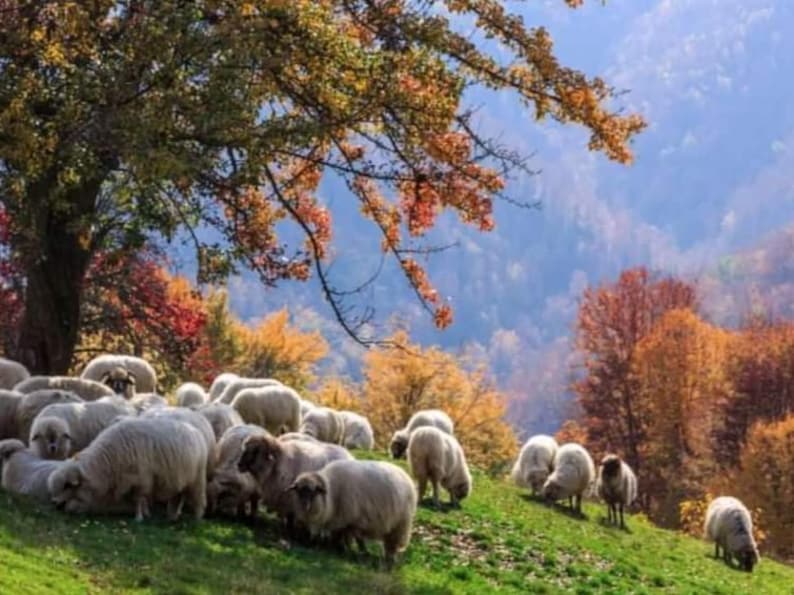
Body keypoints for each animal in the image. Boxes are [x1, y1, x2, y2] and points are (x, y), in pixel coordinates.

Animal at [48, 416, 208, 521]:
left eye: (67, 485)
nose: (54, 504)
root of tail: (196, 431)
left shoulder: (142, 480)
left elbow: (138, 500)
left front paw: (139, 518)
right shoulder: (132, 481)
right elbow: (142, 500)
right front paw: (146, 514)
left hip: (197, 479)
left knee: (198, 498)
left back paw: (197, 518)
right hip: (181, 479)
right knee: (178, 497)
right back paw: (172, 516)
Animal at [289, 460, 417, 569]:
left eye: (313, 491)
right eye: (299, 491)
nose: (305, 505)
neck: (331, 492)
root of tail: (404, 474)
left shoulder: (351, 519)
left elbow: (351, 537)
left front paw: (347, 550)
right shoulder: (342, 520)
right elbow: (344, 536)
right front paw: (342, 549)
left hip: (401, 523)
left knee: (392, 543)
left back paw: (390, 560)